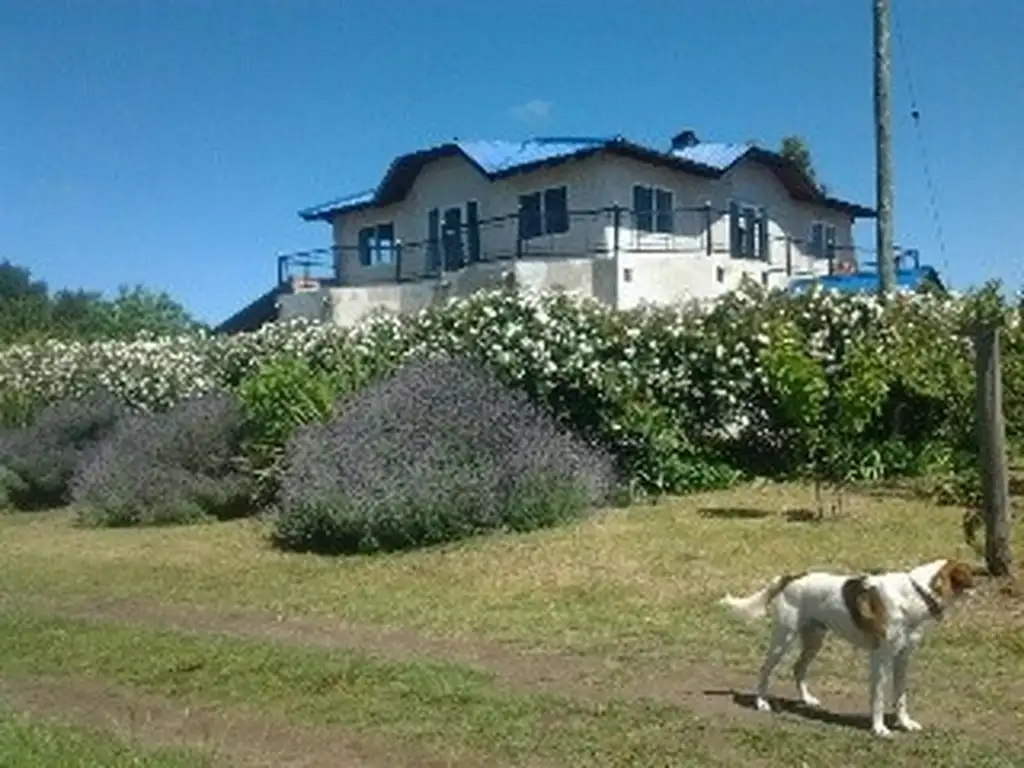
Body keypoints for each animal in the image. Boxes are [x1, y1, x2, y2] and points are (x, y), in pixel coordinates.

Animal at [720, 561, 974, 741]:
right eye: (969, 576)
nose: (977, 586)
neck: (917, 592)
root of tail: (793, 577)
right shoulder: (881, 658)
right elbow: (878, 698)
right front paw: (879, 728)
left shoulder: (903, 657)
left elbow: (901, 696)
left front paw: (905, 723)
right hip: (784, 639)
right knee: (765, 670)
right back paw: (761, 703)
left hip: (814, 641)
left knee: (798, 669)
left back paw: (806, 699)